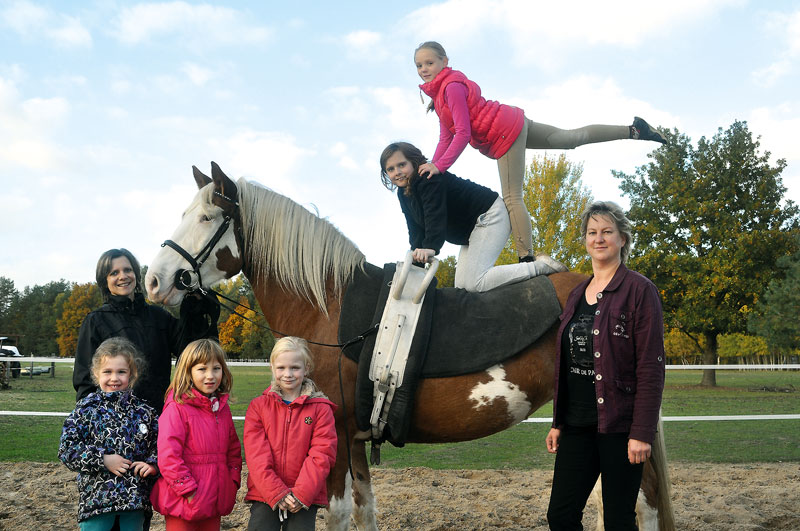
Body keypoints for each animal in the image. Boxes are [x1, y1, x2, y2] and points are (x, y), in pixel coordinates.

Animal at [145, 163, 676, 531]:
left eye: (208, 216)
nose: (154, 280)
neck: (329, 306)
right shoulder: (356, 439)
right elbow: (365, 511)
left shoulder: (336, 436)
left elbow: (337, 513)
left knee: (644, 506)